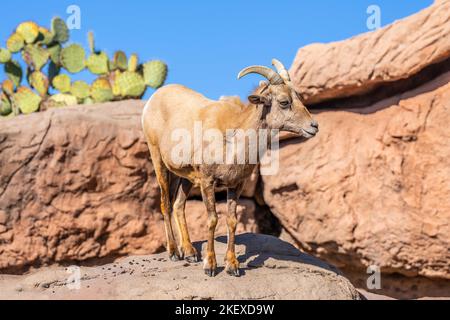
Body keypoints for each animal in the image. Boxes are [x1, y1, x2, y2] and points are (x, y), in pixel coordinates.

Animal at [142, 58, 318, 276]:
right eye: (284, 102)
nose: (314, 126)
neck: (234, 141)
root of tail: (153, 99)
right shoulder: (208, 182)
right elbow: (212, 220)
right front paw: (210, 266)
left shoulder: (236, 185)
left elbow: (232, 221)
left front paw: (232, 266)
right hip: (158, 160)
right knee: (165, 205)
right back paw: (174, 252)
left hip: (186, 177)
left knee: (178, 206)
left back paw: (190, 253)